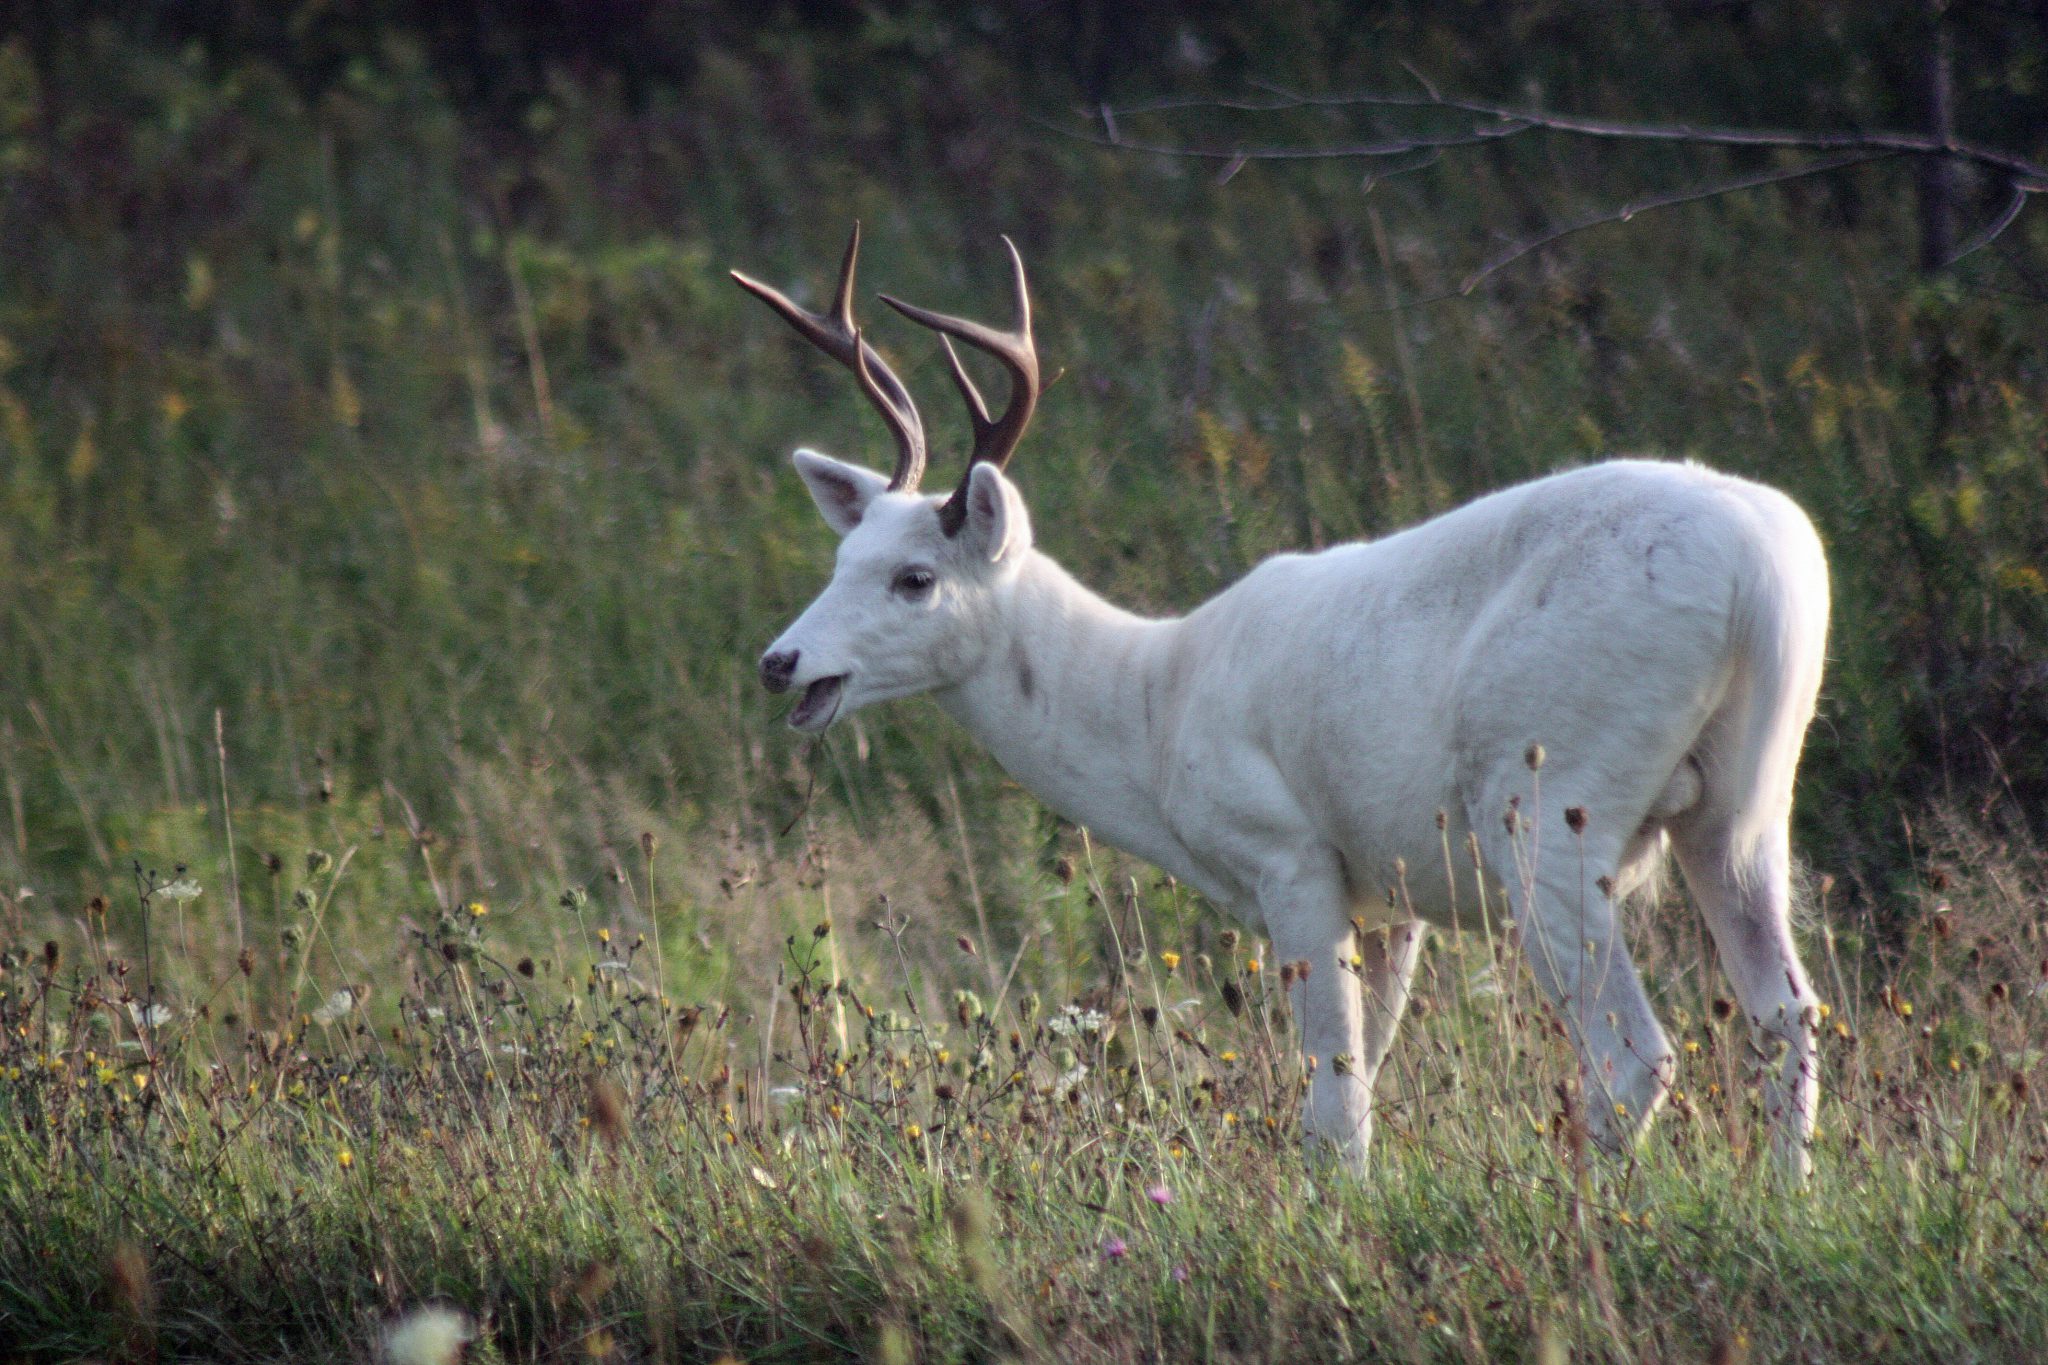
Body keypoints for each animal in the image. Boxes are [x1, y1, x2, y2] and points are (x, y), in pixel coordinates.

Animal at [733, 229, 1826, 1178]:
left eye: (915, 578)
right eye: (842, 557)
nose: (779, 661)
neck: (1153, 709)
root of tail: (1758, 573)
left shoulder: (1288, 851)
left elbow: (1332, 1104)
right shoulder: (1388, 894)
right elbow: (1364, 1078)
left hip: (1549, 798)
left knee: (1632, 1055)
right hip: (1742, 805)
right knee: (1787, 1016)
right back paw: (1783, 1197)